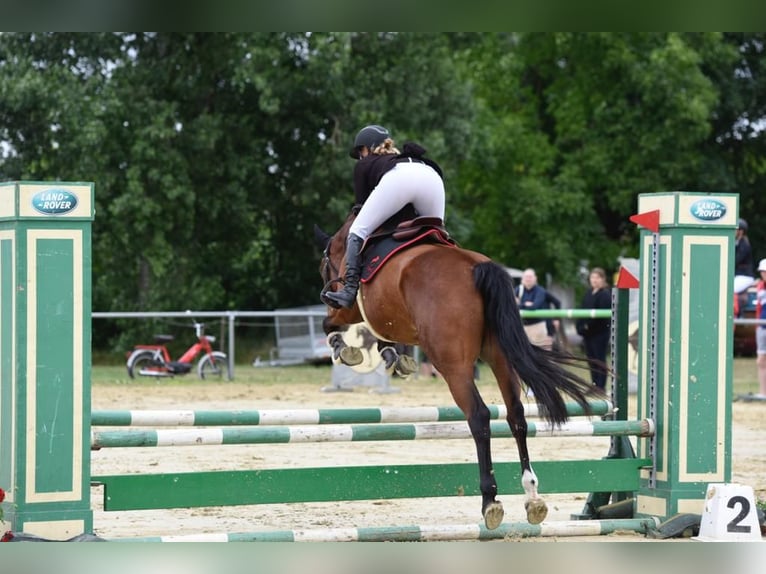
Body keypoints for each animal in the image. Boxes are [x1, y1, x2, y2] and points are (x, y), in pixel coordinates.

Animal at [316, 206, 604, 532]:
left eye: (324, 266)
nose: (329, 288)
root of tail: (476, 268)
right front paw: (395, 357)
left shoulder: (351, 309)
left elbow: (330, 323)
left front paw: (345, 348)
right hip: (500, 356)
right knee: (516, 415)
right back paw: (532, 497)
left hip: (454, 366)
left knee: (479, 416)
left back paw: (490, 501)